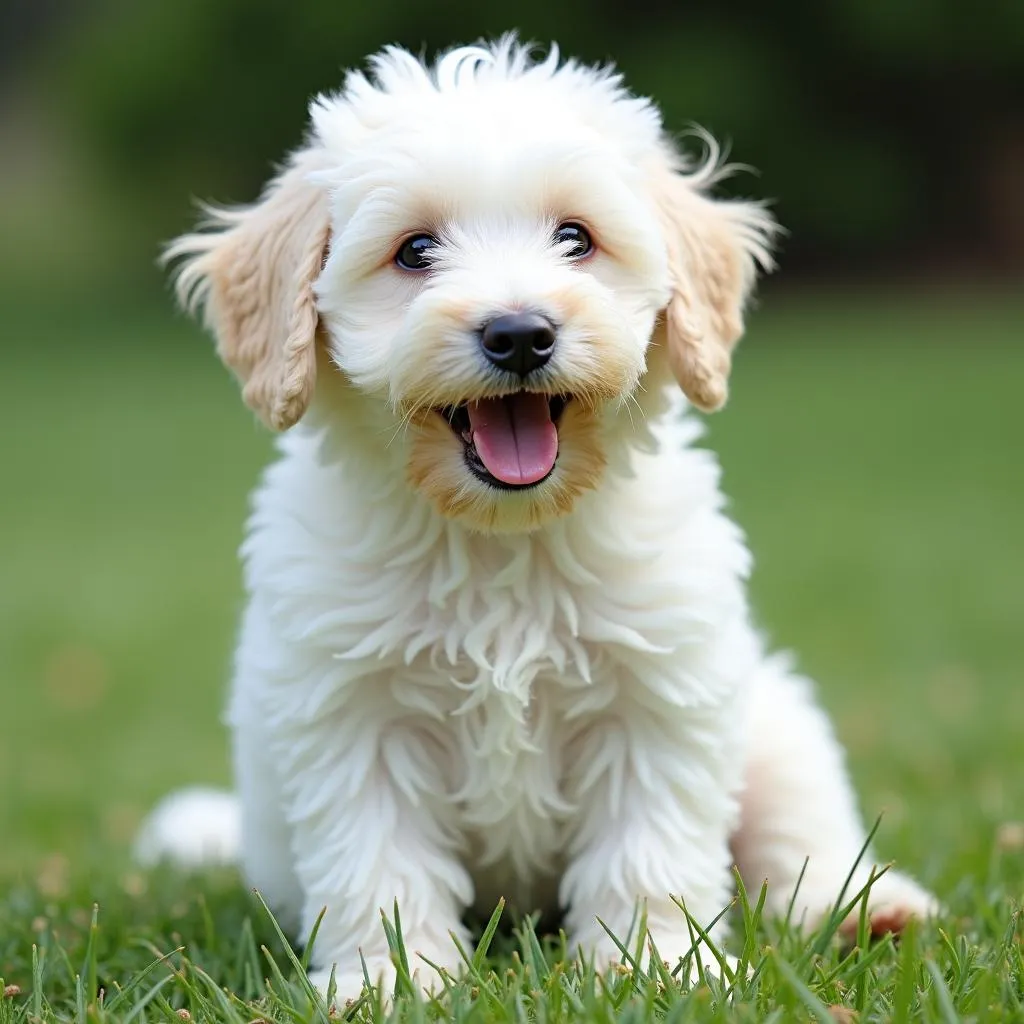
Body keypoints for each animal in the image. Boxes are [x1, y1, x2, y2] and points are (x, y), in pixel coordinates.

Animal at [140, 37, 937, 991]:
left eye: (575, 239)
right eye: (414, 251)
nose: (519, 334)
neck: (501, 538)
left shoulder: (658, 696)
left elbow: (648, 851)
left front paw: (652, 967)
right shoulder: (352, 713)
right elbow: (378, 861)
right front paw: (391, 979)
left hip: (777, 732)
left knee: (797, 844)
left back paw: (871, 913)